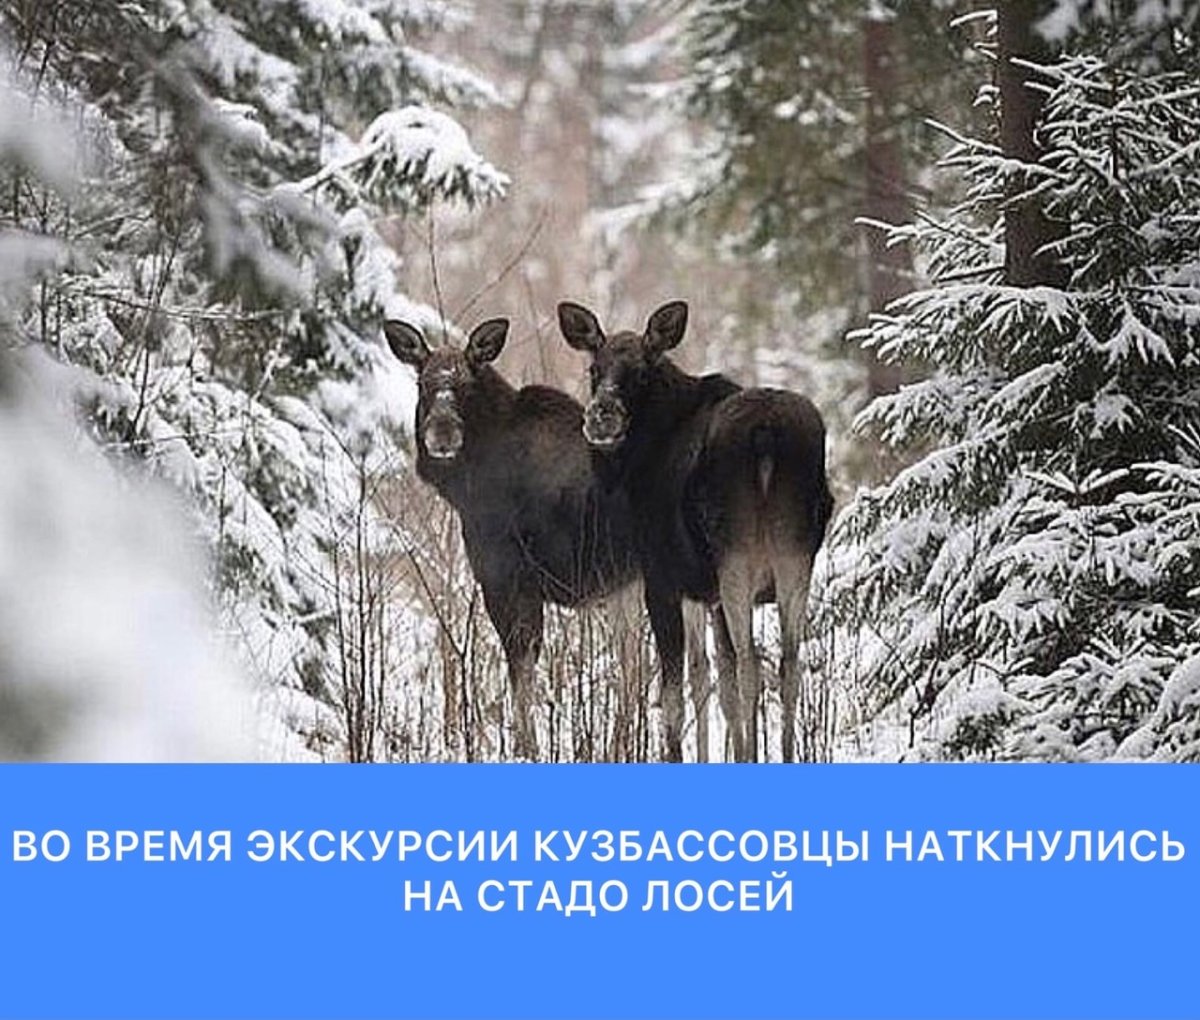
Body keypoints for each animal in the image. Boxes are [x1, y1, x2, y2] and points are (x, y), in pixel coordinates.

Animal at [384, 316, 642, 760]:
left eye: (466, 385)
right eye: (423, 383)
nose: (442, 432)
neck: (467, 484)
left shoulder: (506, 576)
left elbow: (521, 668)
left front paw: (526, 746)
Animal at [557, 300, 833, 762]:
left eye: (642, 372)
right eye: (594, 367)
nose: (600, 416)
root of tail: (767, 435)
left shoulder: (663, 581)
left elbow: (675, 696)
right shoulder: (706, 593)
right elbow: (716, 682)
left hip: (739, 560)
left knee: (751, 665)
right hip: (795, 559)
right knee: (788, 665)